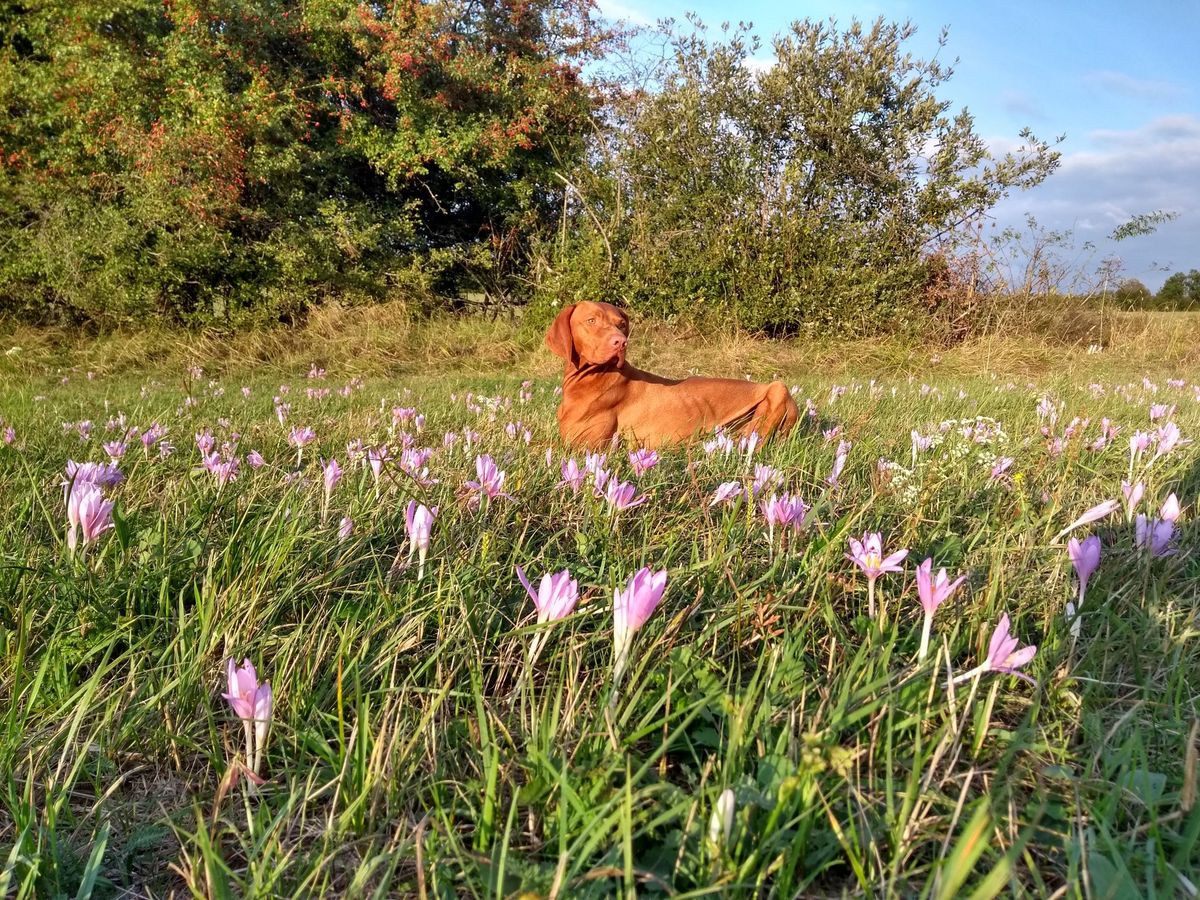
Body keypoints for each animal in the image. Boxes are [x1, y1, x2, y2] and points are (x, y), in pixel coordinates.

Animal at [544, 303, 796, 451]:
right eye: (591, 320)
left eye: (622, 324)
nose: (620, 342)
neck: (589, 379)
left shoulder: (588, 446)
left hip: (778, 388)